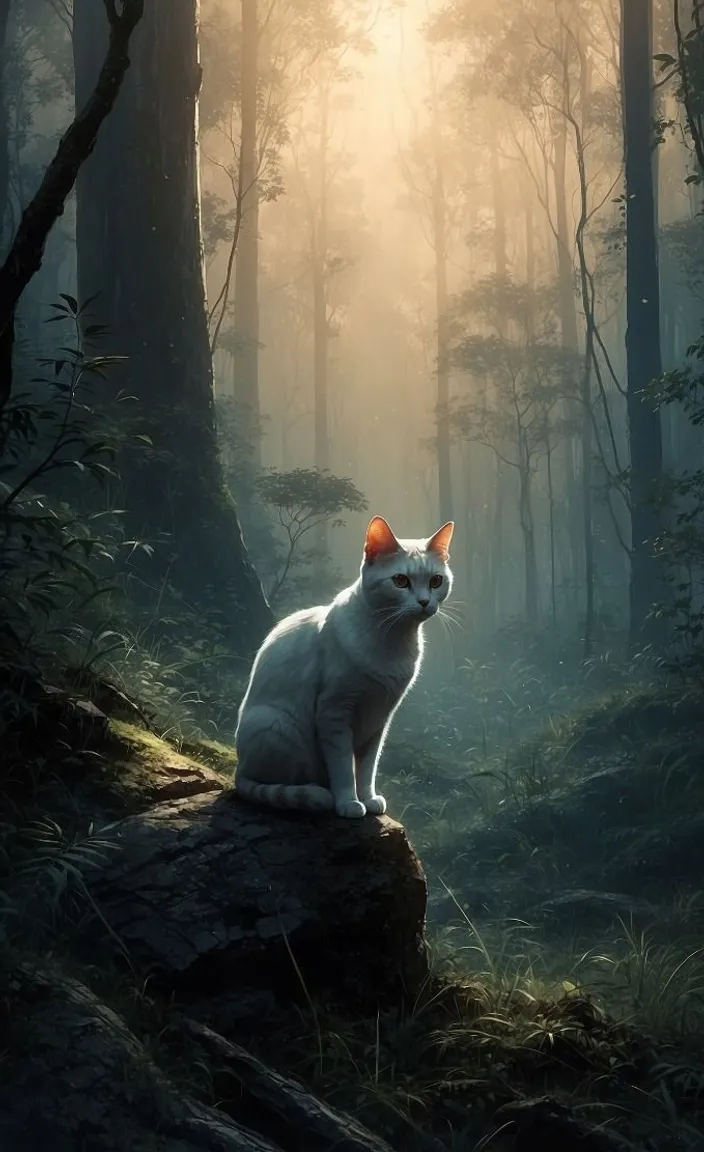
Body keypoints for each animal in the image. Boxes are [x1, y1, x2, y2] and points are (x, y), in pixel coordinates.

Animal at [233, 513, 453, 820]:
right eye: (400, 581)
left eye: (436, 581)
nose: (424, 602)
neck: (391, 640)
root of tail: (238, 768)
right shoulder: (334, 713)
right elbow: (343, 768)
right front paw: (349, 801)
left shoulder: (379, 719)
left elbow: (367, 768)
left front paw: (368, 798)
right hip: (276, 725)